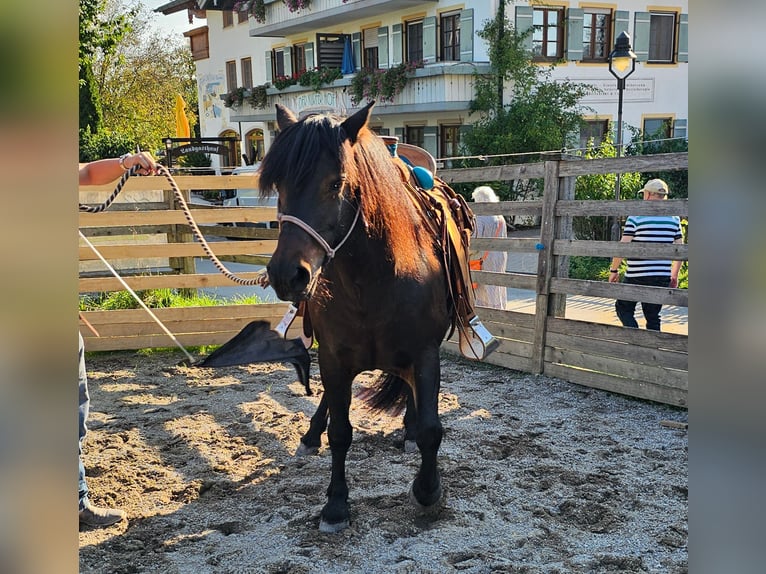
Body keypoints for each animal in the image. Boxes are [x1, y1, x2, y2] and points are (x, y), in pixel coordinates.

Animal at [260, 103, 472, 536]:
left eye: (336, 182)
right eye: (279, 184)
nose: (287, 275)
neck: (372, 279)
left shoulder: (425, 353)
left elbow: (432, 428)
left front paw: (428, 492)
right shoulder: (333, 356)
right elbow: (341, 432)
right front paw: (336, 504)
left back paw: (407, 431)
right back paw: (311, 435)